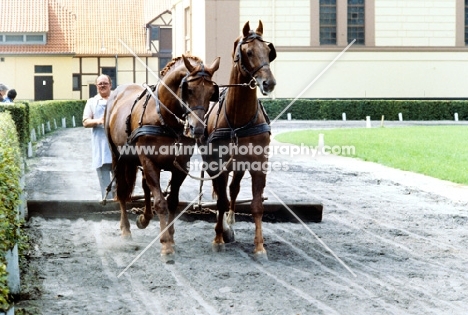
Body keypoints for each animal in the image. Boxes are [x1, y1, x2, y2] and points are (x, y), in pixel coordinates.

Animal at [106, 54, 221, 260]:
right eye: (189, 90)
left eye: (211, 93)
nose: (198, 129)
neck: (165, 119)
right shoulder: (149, 162)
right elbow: (160, 202)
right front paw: (166, 244)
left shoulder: (181, 166)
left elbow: (172, 202)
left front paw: (170, 237)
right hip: (118, 157)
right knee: (122, 191)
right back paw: (126, 229)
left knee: (145, 186)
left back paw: (144, 218)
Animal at [202, 21, 276, 260]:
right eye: (248, 52)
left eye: (269, 52)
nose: (269, 83)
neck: (239, 119)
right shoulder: (219, 164)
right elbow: (220, 201)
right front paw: (218, 238)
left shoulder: (258, 164)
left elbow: (256, 205)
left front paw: (259, 247)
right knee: (221, 192)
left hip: (240, 165)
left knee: (233, 190)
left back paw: (231, 220)